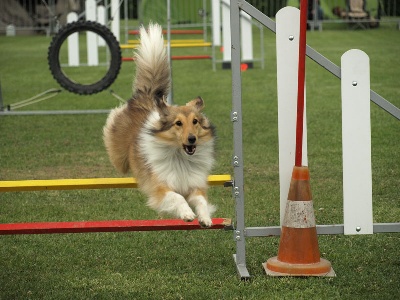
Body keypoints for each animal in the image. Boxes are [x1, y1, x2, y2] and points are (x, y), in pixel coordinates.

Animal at [102, 23, 216, 227]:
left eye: (195, 121)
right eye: (178, 123)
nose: (192, 139)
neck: (180, 157)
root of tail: (147, 97)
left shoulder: (194, 185)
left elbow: (201, 201)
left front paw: (205, 218)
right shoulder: (160, 186)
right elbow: (178, 197)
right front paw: (187, 214)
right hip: (119, 160)